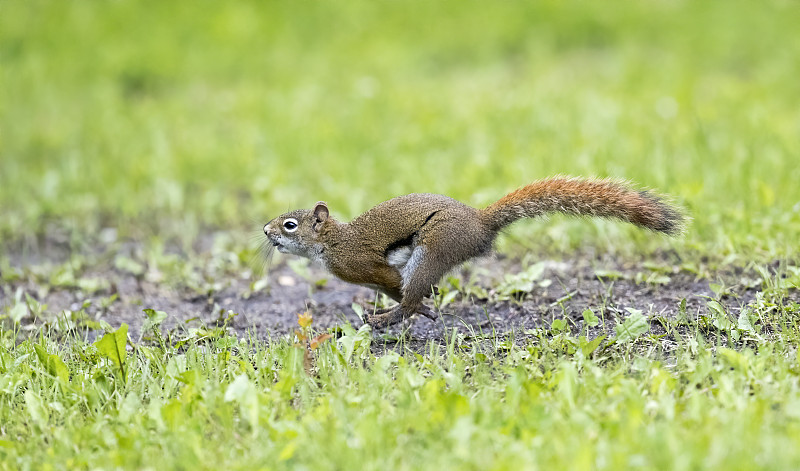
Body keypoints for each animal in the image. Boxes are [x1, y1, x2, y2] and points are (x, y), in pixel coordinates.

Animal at [264, 176, 688, 328]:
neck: (332, 242)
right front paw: (423, 307)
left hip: (433, 248)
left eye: (290, 224)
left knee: (412, 289)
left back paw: (388, 318)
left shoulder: (362, 264)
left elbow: (395, 284)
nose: (265, 231)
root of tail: (481, 223)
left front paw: (407, 308)